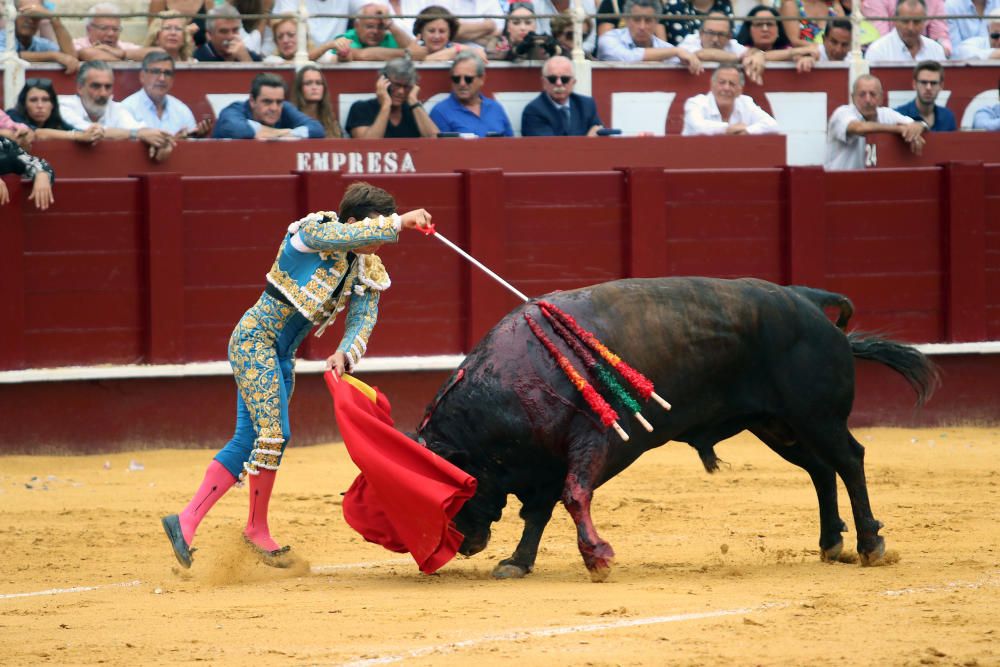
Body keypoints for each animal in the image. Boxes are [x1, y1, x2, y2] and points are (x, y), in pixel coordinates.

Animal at [414, 276, 936, 580]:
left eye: (456, 491)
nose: (462, 547)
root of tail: (806, 300)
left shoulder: (590, 442)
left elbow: (573, 496)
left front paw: (598, 558)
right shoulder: (544, 463)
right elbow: (539, 512)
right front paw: (518, 563)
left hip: (816, 417)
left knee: (849, 460)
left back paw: (870, 543)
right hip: (777, 425)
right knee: (821, 471)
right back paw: (831, 543)